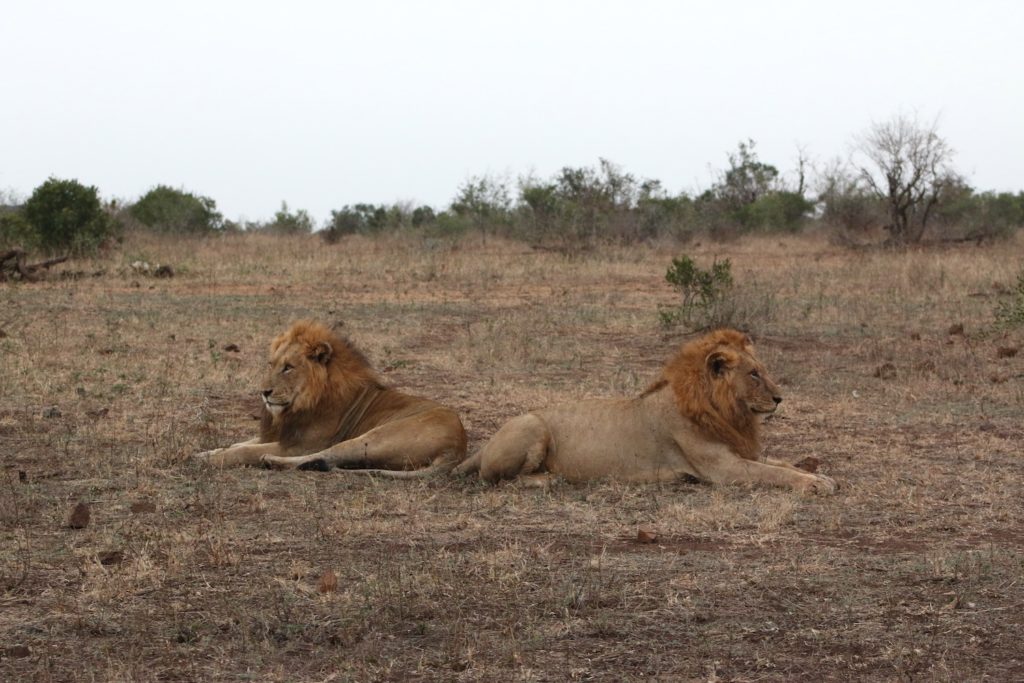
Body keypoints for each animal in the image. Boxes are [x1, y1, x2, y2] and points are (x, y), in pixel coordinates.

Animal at [194, 319, 468, 475]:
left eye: (288, 367)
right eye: (271, 365)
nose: (265, 392)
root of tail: (458, 447)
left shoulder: (300, 444)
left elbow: (244, 451)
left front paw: (212, 459)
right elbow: (238, 444)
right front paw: (205, 453)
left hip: (373, 438)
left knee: (327, 456)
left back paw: (271, 461)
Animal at [456, 327, 839, 493]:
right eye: (754, 374)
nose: (779, 399)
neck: (725, 413)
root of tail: (485, 444)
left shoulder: (738, 451)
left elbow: (781, 464)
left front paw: (823, 477)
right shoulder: (722, 468)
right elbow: (774, 473)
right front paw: (814, 484)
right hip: (532, 426)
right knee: (498, 480)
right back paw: (550, 478)